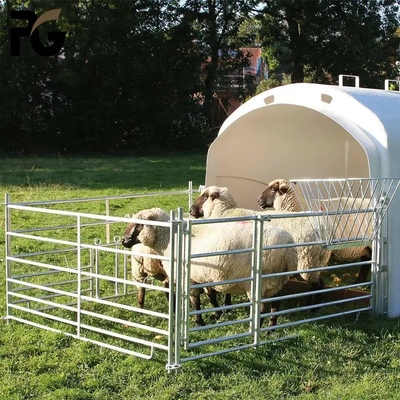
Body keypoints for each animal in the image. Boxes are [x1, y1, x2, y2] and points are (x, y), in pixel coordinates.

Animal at [121, 206, 296, 328]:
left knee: (261, 309)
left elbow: (195, 301)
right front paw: (216, 315)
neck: (170, 238)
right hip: (275, 279)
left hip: (261, 282)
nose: (124, 240)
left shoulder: (188, 277)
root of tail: (288, 250)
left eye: (139, 225)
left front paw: (199, 322)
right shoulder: (200, 276)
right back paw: (270, 329)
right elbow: (207, 297)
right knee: (276, 304)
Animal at [190, 185, 332, 306]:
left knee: (318, 285)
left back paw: (313, 308)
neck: (225, 213)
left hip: (307, 262)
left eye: (204, 196)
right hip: (318, 262)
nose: (191, 210)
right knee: (318, 285)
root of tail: (323, 228)